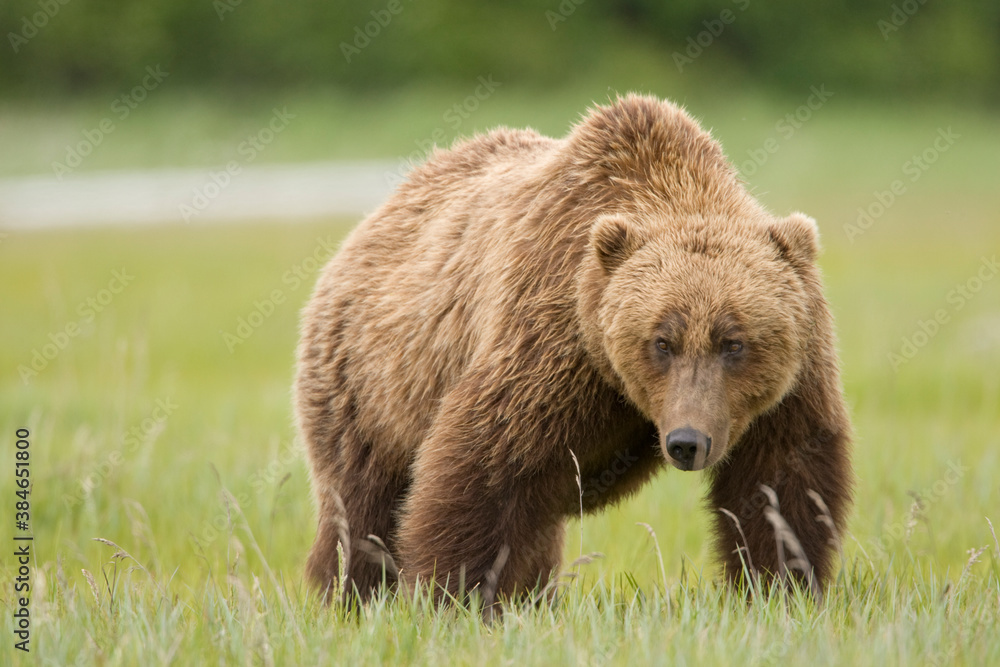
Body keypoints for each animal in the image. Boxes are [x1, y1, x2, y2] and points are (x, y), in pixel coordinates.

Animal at [294, 92, 852, 604]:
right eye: (662, 341)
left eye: (734, 342)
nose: (687, 441)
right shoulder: (553, 341)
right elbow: (482, 466)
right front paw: (452, 595)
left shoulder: (791, 379)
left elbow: (781, 481)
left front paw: (780, 586)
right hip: (369, 382)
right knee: (362, 506)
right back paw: (349, 595)